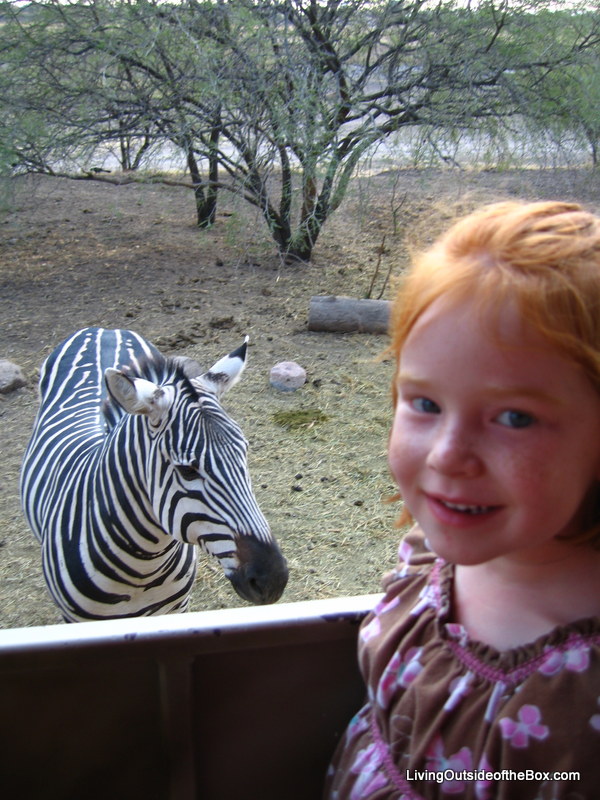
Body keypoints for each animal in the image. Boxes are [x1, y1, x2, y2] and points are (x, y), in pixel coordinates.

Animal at [20, 327, 288, 622]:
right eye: (186, 470)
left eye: (244, 451)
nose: (273, 580)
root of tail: (103, 329)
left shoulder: (176, 608)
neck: (144, 568)